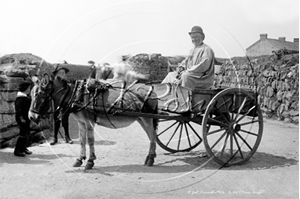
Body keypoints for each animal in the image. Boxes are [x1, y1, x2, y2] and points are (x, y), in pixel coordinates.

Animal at [28, 74, 159, 170]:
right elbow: (82, 140)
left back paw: (151, 159)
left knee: (152, 136)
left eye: (39, 95)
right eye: (31, 95)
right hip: (141, 119)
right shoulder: (81, 122)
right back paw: (149, 157)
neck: (76, 95)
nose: (31, 117)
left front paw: (90, 161)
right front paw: (79, 159)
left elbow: (90, 140)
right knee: (151, 136)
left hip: (147, 119)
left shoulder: (89, 122)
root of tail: (151, 90)